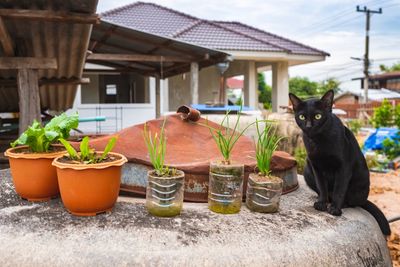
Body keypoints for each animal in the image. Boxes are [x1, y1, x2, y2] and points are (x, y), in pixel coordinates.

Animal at [290, 90, 390, 237]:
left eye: (318, 116)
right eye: (302, 117)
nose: (308, 126)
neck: (319, 140)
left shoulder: (344, 168)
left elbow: (339, 189)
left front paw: (335, 209)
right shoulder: (316, 166)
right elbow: (322, 186)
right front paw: (321, 203)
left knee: (352, 201)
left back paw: (340, 204)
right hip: (307, 170)